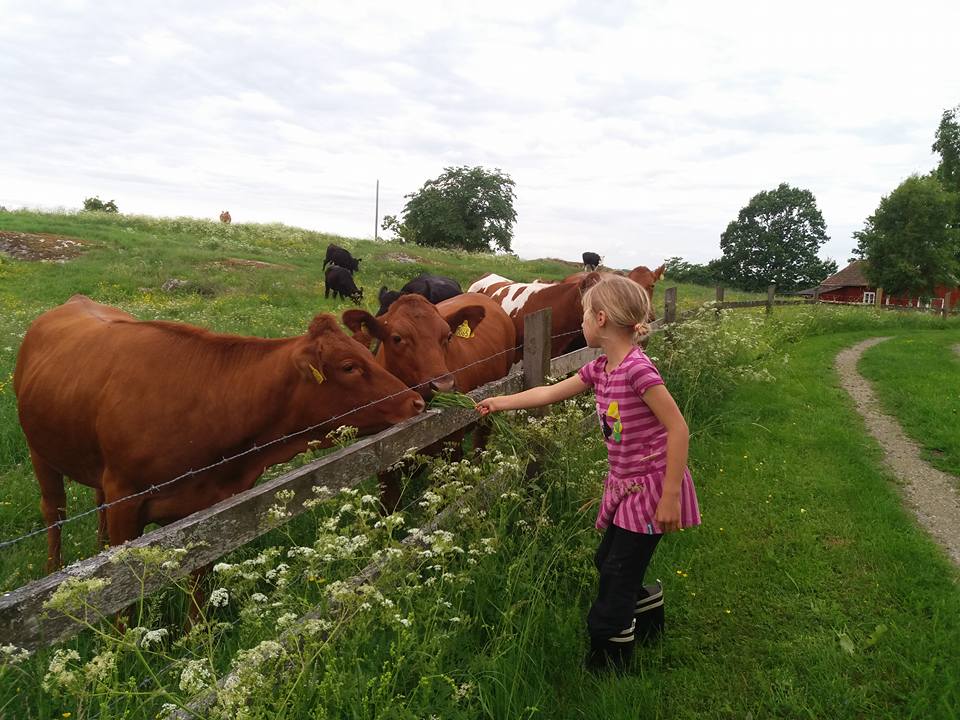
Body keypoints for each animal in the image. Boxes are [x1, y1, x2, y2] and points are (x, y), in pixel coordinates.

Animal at [13, 296, 426, 572]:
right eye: (349, 366)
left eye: (371, 354)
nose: (417, 402)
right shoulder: (124, 502)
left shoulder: (205, 513)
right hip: (39, 452)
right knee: (54, 511)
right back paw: (53, 569)